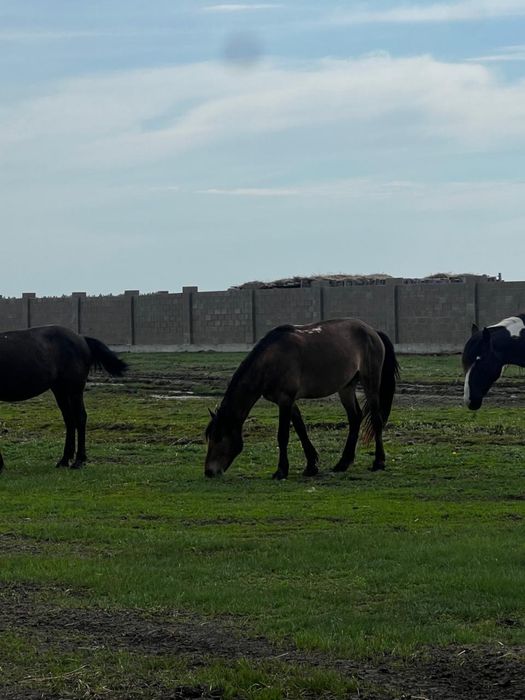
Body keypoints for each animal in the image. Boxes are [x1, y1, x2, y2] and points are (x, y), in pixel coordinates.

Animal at [0, 325, 127, 470]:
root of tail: (82, 338)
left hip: (74, 390)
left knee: (80, 418)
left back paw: (79, 461)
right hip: (60, 390)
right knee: (70, 420)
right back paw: (65, 460)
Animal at [205, 318, 399, 479]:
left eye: (219, 438)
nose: (209, 471)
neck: (270, 360)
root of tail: (372, 331)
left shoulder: (285, 399)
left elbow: (283, 435)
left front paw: (281, 471)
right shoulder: (287, 401)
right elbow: (301, 429)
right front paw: (311, 466)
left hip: (370, 383)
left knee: (376, 419)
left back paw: (379, 462)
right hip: (346, 387)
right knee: (355, 417)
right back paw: (343, 463)